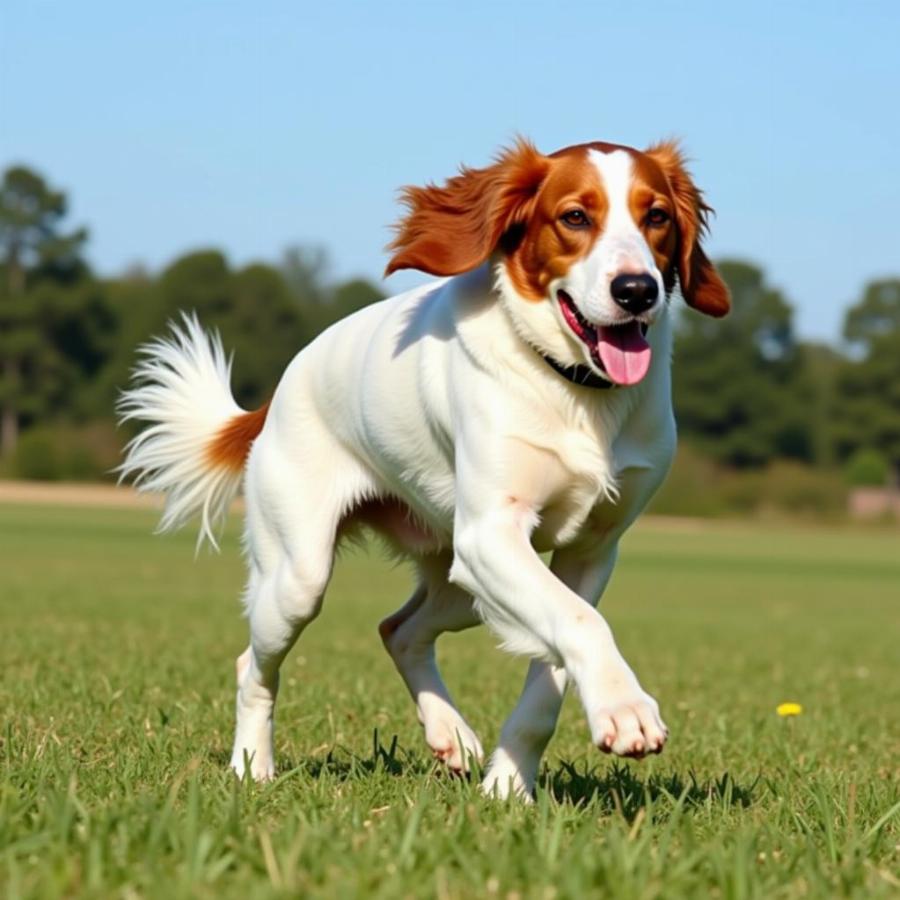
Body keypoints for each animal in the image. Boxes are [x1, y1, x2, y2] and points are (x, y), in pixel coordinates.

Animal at [118, 137, 732, 800]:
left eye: (657, 217)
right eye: (574, 216)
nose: (637, 289)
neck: (573, 391)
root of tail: (278, 391)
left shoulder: (590, 551)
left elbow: (554, 669)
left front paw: (509, 784)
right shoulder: (491, 533)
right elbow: (582, 624)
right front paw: (627, 710)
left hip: (459, 579)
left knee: (399, 629)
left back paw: (451, 735)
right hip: (304, 575)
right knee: (253, 665)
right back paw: (252, 766)